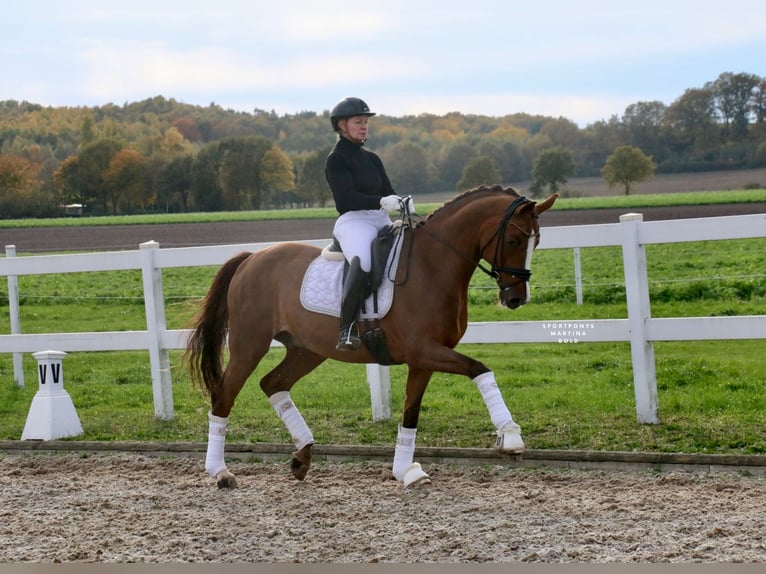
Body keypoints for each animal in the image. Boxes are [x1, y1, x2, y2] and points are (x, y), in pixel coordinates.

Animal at [185, 184, 558, 489]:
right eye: (512, 240)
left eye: (536, 241)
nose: (516, 298)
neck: (433, 266)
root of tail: (251, 258)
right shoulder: (424, 351)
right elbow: (480, 369)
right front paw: (510, 438)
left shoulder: (424, 359)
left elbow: (411, 413)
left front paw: (406, 472)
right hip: (250, 344)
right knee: (224, 395)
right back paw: (220, 472)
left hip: (306, 350)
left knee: (273, 383)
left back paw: (302, 457)